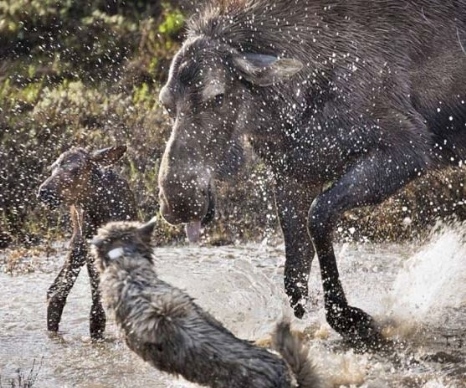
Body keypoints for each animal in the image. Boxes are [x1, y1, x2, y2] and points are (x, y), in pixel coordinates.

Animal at [38, 146, 137, 340]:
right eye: (52, 168)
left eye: (76, 169)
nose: (44, 191)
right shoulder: (89, 247)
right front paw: (96, 328)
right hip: (78, 240)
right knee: (58, 293)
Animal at [157, 0, 466, 346]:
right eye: (166, 104)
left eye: (218, 96)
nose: (177, 202)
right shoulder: (295, 174)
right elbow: (293, 272)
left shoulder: (406, 150)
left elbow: (318, 217)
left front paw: (349, 319)